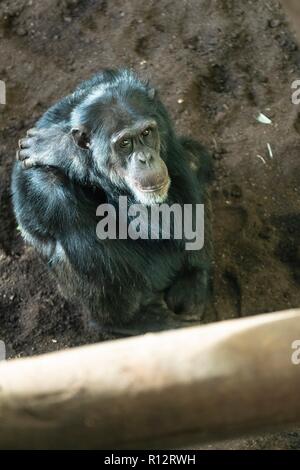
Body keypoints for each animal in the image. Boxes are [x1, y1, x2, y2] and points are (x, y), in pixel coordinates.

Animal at [11, 69, 213, 334]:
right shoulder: (43, 190)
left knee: (194, 159)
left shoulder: (164, 123)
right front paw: (70, 151)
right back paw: (133, 321)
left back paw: (194, 282)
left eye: (146, 133)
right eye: (125, 143)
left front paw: (59, 147)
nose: (146, 158)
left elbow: (182, 211)